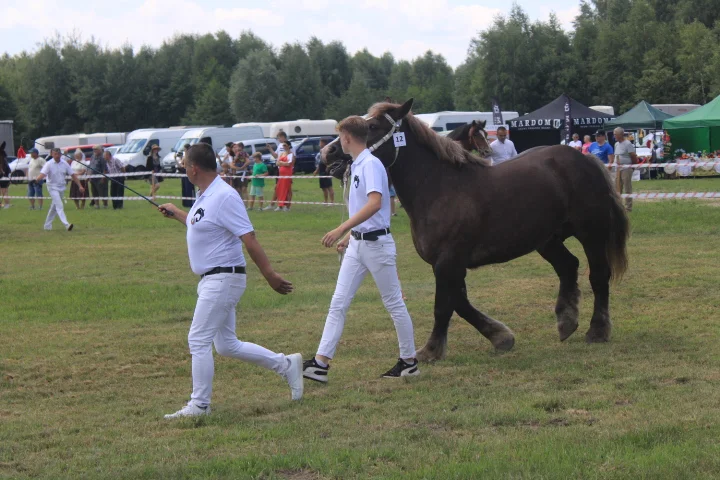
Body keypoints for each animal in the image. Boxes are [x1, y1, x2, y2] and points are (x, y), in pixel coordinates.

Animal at [324, 98, 628, 360]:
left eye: (372, 126)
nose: (329, 152)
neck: (439, 188)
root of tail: (585, 160)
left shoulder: (449, 262)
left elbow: (444, 306)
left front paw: (431, 350)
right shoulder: (447, 265)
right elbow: (459, 303)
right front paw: (501, 337)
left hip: (591, 233)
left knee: (598, 276)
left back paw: (597, 330)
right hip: (547, 240)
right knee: (568, 266)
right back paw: (566, 322)